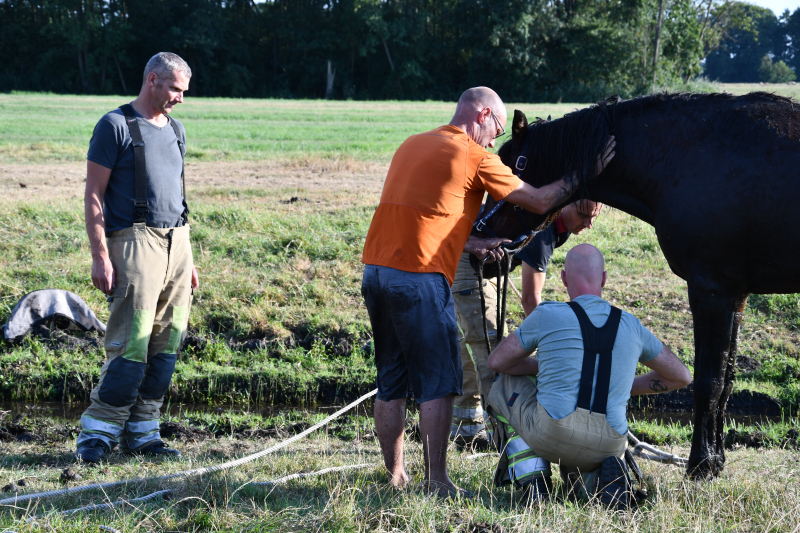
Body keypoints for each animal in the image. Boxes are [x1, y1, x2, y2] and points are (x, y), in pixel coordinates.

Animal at [475, 92, 800, 479]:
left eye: (508, 171)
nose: (479, 239)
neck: (689, 158)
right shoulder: (736, 295)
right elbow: (726, 379)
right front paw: (716, 458)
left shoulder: (712, 291)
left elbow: (709, 381)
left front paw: (701, 463)